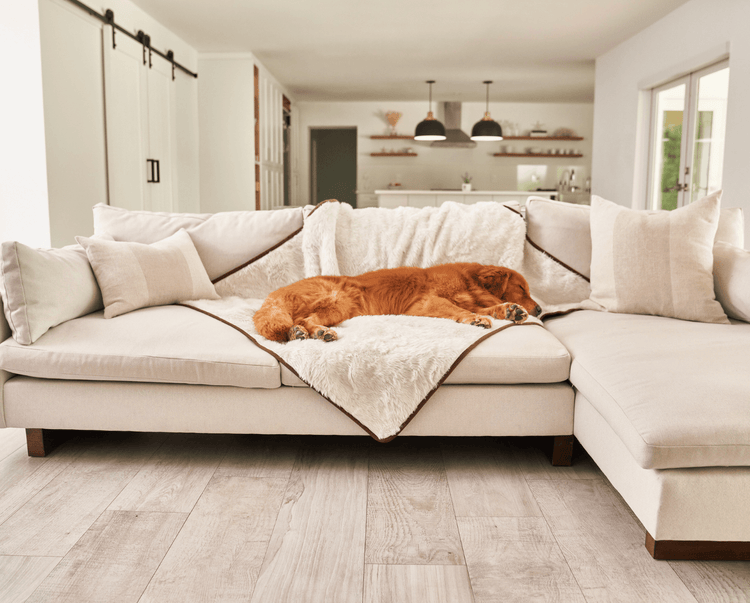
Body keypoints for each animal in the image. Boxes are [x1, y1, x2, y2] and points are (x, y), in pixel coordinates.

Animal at [253, 262, 540, 342]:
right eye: (521, 287)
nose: (538, 309)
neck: (468, 280)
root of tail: (277, 292)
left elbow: (489, 307)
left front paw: (511, 310)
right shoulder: (425, 303)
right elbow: (458, 309)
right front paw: (476, 319)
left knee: (300, 321)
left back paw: (302, 332)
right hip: (338, 301)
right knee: (305, 318)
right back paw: (316, 332)